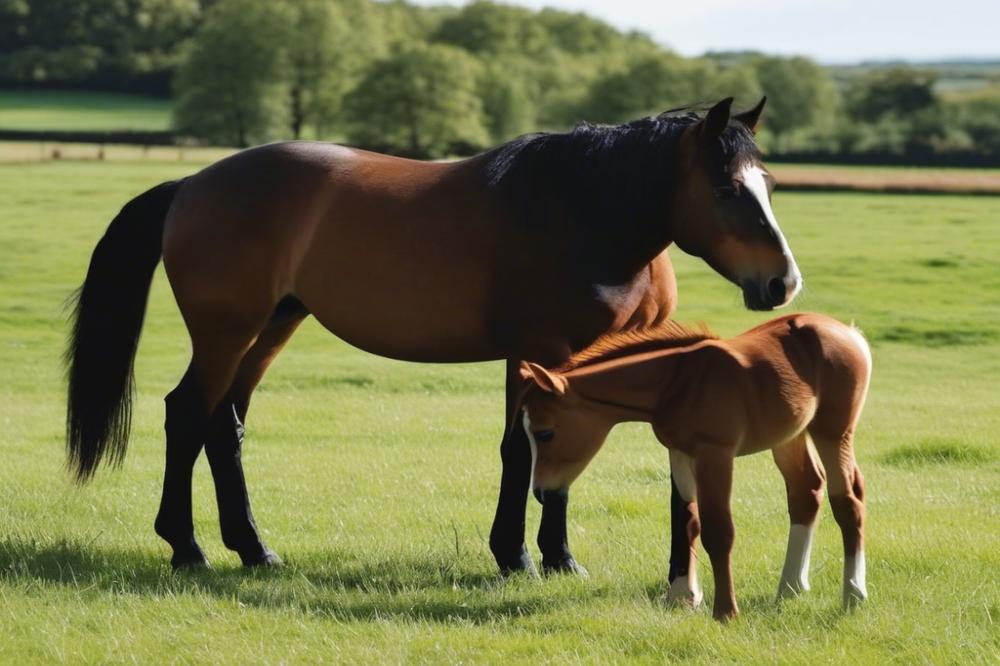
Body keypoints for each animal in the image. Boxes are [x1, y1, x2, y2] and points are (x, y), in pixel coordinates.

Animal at [520, 314, 872, 620]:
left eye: (545, 433)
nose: (541, 492)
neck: (677, 381)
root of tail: (852, 334)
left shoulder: (715, 454)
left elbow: (719, 531)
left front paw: (725, 611)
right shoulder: (679, 452)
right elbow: (688, 519)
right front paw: (682, 595)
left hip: (834, 432)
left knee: (848, 502)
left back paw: (854, 594)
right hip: (790, 436)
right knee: (806, 491)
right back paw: (791, 587)